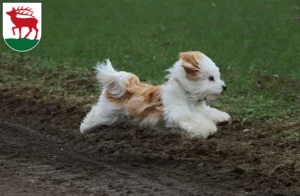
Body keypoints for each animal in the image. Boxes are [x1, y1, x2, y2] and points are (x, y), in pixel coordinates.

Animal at [79, 51, 230, 139]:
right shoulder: (179, 112)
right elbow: (193, 119)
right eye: (211, 78)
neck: (187, 94)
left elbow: (209, 112)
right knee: (94, 114)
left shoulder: (200, 109)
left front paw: (222, 117)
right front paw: (208, 129)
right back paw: (84, 128)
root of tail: (124, 83)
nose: (224, 87)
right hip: (108, 112)